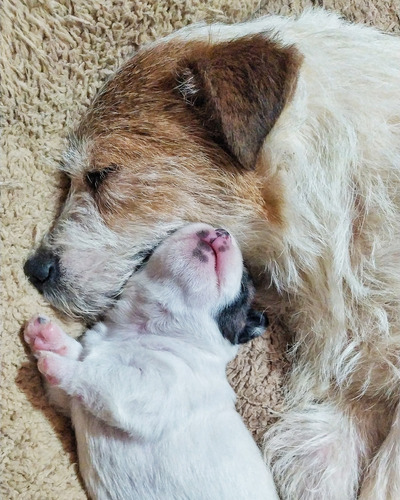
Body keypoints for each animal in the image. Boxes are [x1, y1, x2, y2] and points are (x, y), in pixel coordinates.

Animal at [23, 225, 276, 500]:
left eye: (245, 284)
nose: (220, 231)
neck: (141, 329)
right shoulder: (68, 399)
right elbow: (75, 366)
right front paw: (48, 337)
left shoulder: (153, 389)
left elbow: (98, 376)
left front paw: (58, 364)